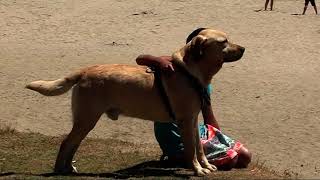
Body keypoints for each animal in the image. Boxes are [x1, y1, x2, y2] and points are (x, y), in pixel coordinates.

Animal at [26, 28, 245, 176]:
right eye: (224, 41)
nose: (244, 48)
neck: (189, 72)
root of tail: (85, 70)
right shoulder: (184, 121)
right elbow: (191, 150)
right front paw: (198, 170)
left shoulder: (192, 119)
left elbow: (199, 147)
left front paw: (205, 165)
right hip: (86, 119)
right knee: (66, 142)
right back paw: (59, 169)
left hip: (85, 121)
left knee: (73, 143)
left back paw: (69, 167)